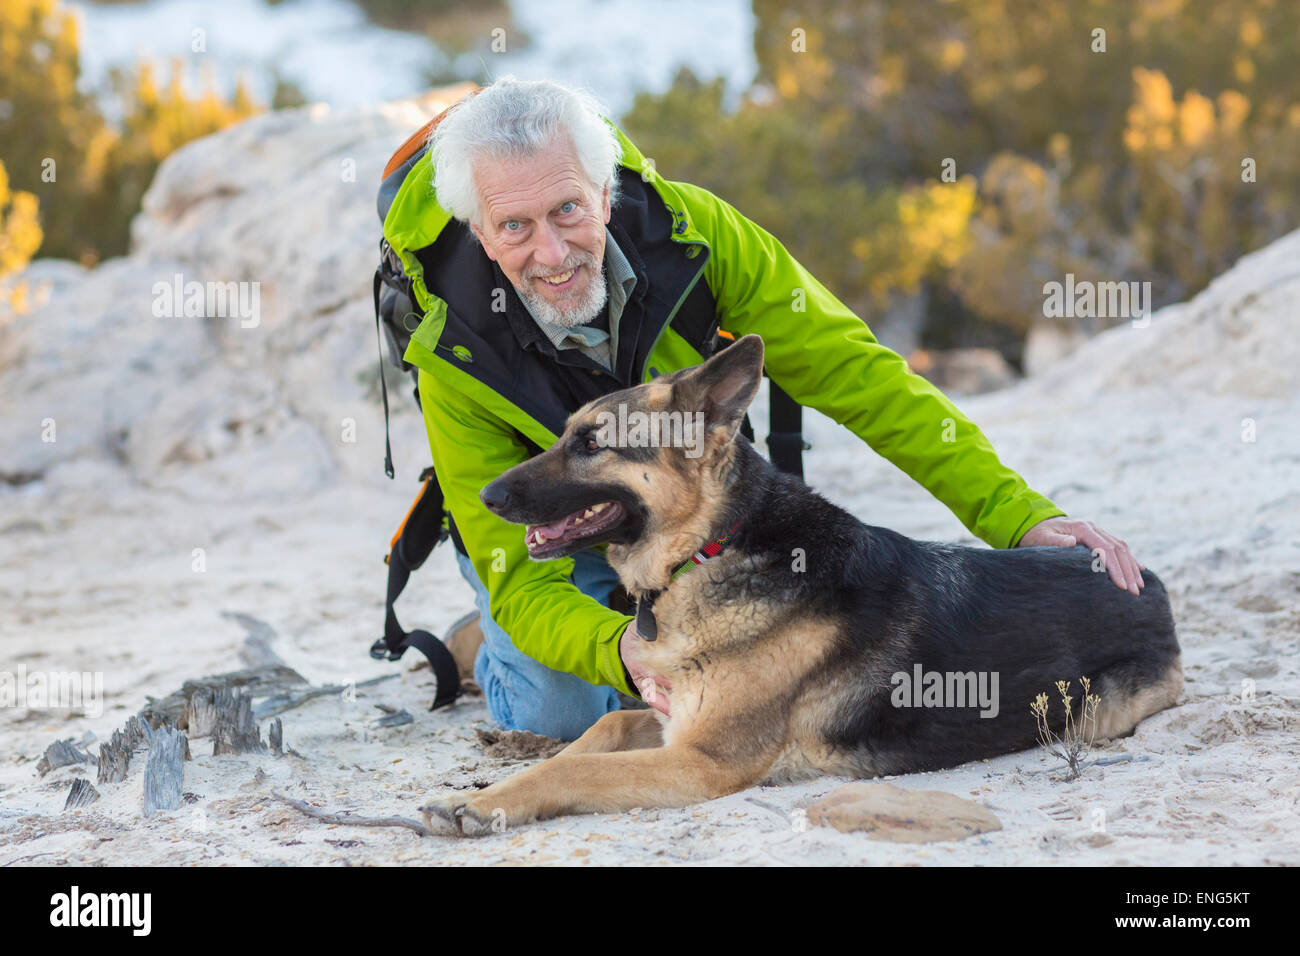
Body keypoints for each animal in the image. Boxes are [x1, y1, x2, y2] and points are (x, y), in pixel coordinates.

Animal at [421, 332, 1185, 832]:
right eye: (564, 434)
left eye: (591, 444)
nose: (482, 495)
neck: (710, 548)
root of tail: (1147, 578)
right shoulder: (672, 723)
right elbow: (600, 728)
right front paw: (499, 782)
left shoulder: (703, 761)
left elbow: (574, 769)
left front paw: (478, 803)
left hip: (1096, 714)